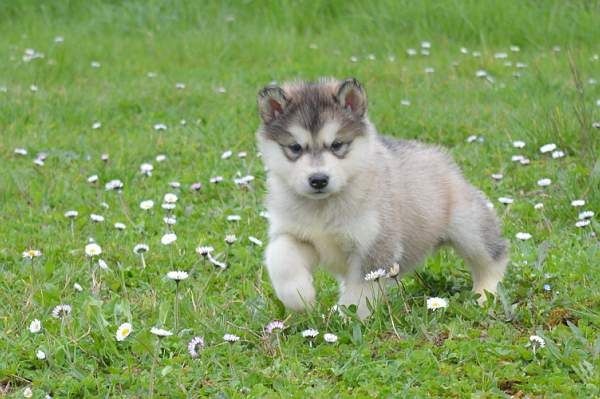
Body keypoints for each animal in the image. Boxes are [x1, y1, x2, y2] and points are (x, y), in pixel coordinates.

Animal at [255, 78, 508, 318]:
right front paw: (299, 297)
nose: (318, 180)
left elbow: (360, 293)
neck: (323, 207)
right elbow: (280, 257)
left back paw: (484, 293)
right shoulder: (293, 233)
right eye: (295, 147)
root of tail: (442, 157)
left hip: (469, 227)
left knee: (493, 257)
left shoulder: (374, 246)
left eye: (337, 144)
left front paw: (350, 318)